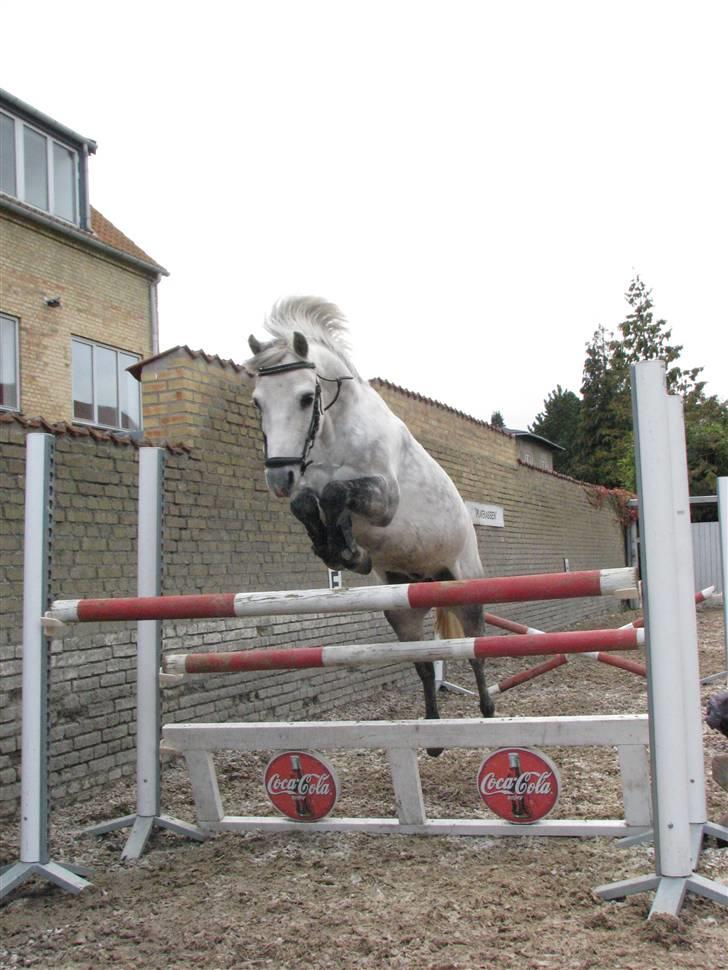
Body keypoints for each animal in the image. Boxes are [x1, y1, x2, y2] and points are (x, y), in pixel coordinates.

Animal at [246, 294, 494, 748]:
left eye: (306, 398)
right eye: (258, 402)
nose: (278, 478)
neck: (333, 434)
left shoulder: (386, 499)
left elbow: (336, 493)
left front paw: (345, 549)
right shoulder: (311, 492)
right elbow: (308, 503)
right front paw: (340, 551)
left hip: (464, 587)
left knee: (474, 649)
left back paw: (487, 711)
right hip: (401, 606)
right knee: (422, 663)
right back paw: (432, 736)